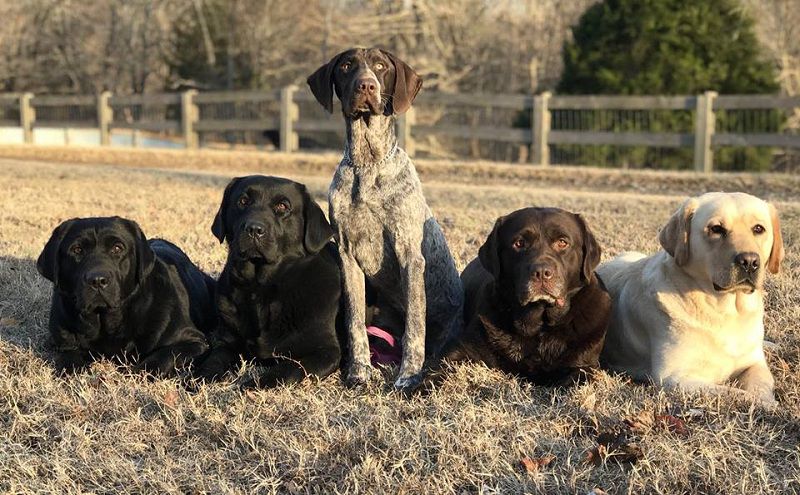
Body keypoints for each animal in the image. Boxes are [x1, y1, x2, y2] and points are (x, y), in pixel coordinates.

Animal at [306, 48, 462, 394]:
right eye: (347, 66)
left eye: (380, 66)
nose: (366, 86)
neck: (367, 164)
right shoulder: (348, 256)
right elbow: (353, 322)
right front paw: (360, 371)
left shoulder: (409, 255)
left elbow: (415, 326)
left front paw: (408, 375)